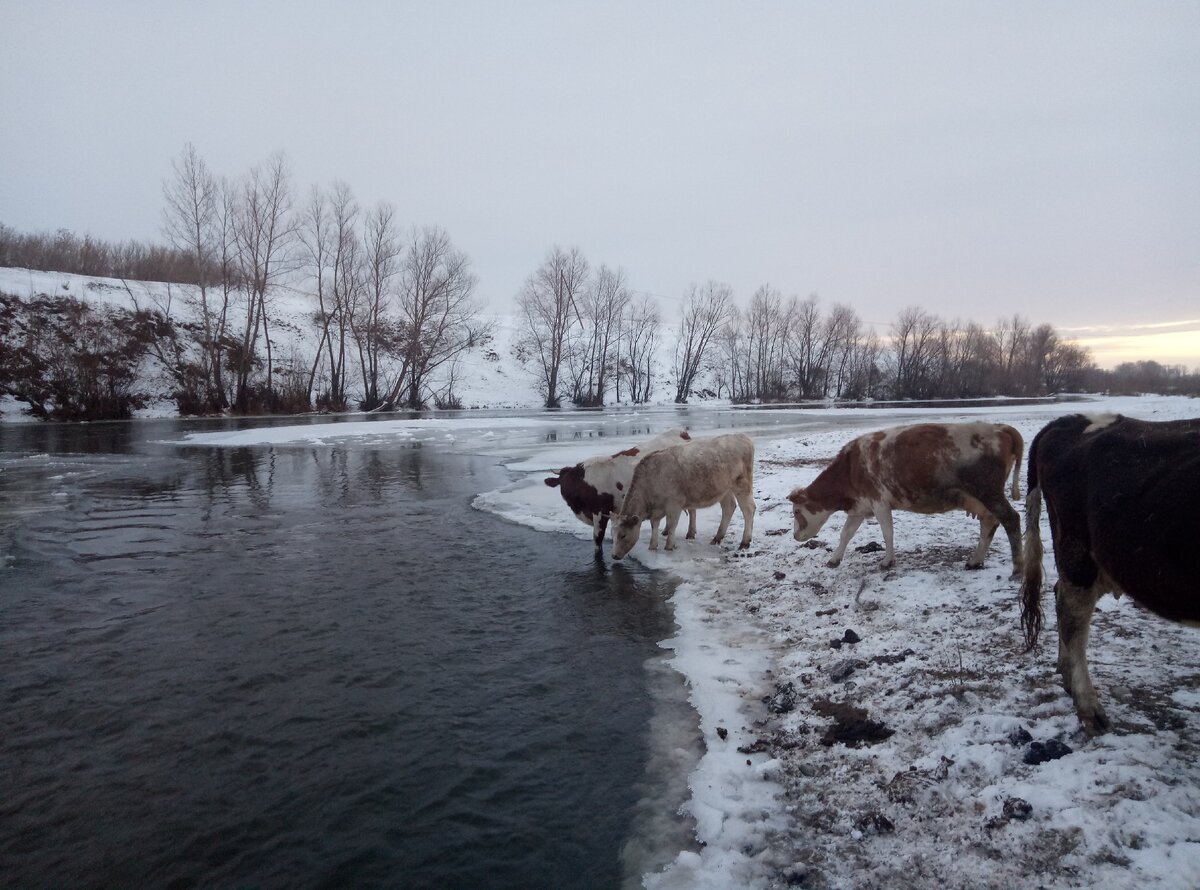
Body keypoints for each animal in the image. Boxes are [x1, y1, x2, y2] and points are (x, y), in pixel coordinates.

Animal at [542, 431, 696, 556]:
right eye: (563, 483)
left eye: (571, 484)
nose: (568, 498)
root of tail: (681, 433)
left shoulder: (600, 512)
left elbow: (597, 538)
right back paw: (666, 530)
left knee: (692, 510)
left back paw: (690, 532)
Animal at [614, 431, 753, 556]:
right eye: (613, 534)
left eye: (623, 535)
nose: (614, 556)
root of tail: (742, 437)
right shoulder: (657, 509)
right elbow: (654, 525)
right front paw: (652, 547)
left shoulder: (674, 504)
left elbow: (671, 525)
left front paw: (669, 546)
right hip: (724, 489)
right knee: (728, 507)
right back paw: (717, 538)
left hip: (742, 483)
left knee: (748, 509)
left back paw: (744, 542)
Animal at [787, 424, 1022, 570]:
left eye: (797, 511)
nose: (795, 536)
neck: (851, 467)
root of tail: (999, 427)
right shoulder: (860, 507)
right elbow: (845, 534)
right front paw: (834, 559)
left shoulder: (879, 502)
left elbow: (887, 533)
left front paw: (887, 561)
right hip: (983, 499)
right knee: (989, 523)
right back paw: (975, 561)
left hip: (990, 493)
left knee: (1011, 519)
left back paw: (1017, 567)